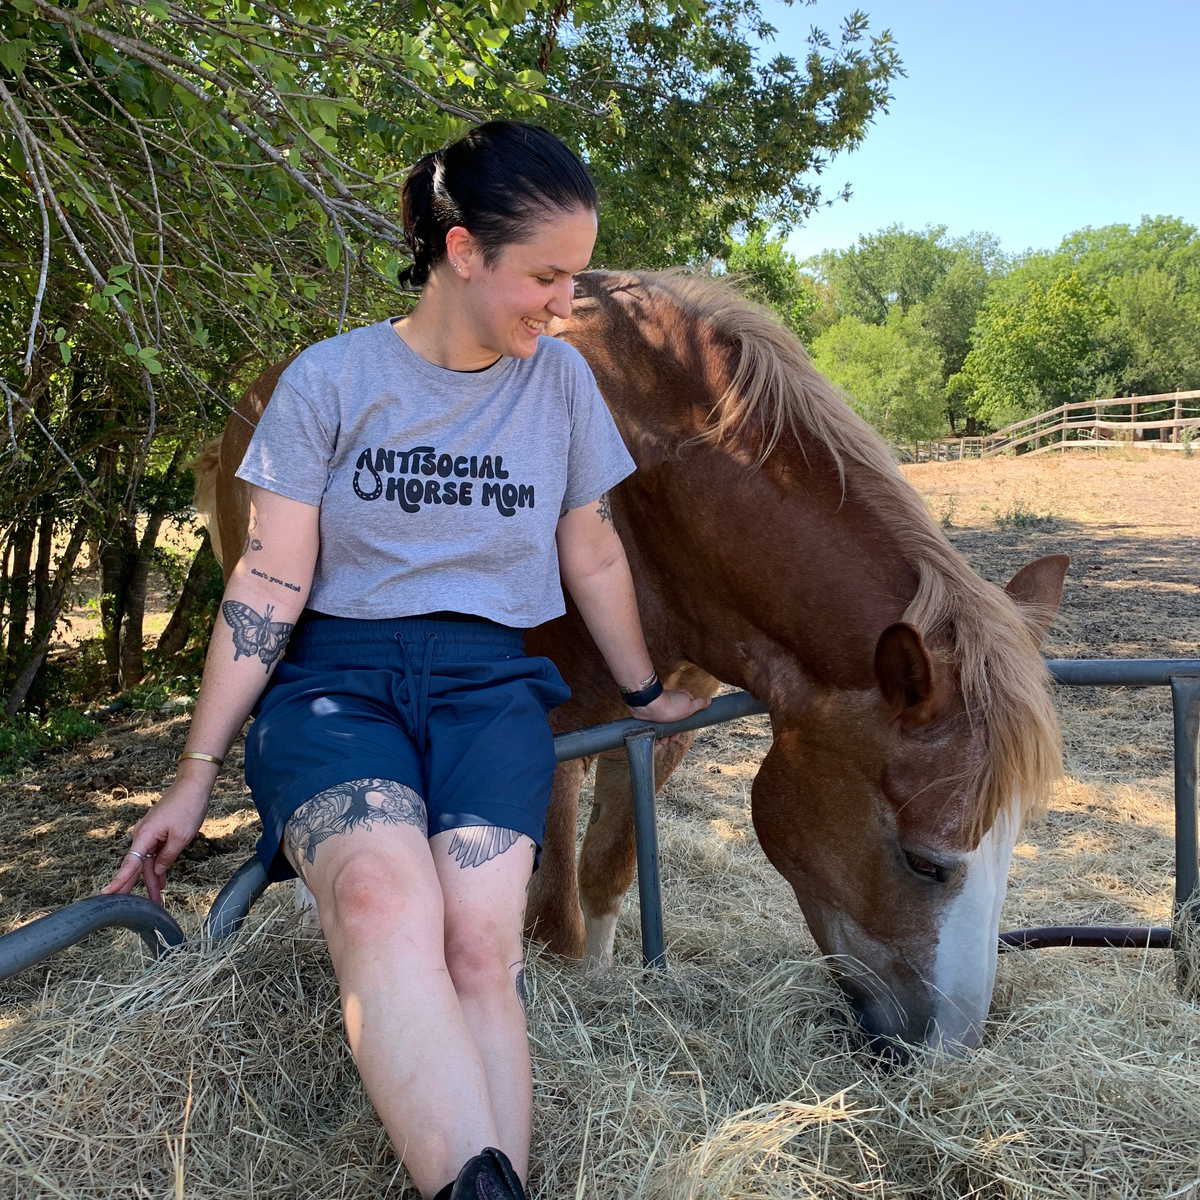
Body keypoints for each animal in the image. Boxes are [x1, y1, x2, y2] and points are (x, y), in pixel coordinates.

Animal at [195, 270, 1066, 1054]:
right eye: (925, 863)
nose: (948, 1049)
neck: (646, 499)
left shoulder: (664, 719)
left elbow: (606, 875)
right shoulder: (546, 734)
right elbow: (553, 921)